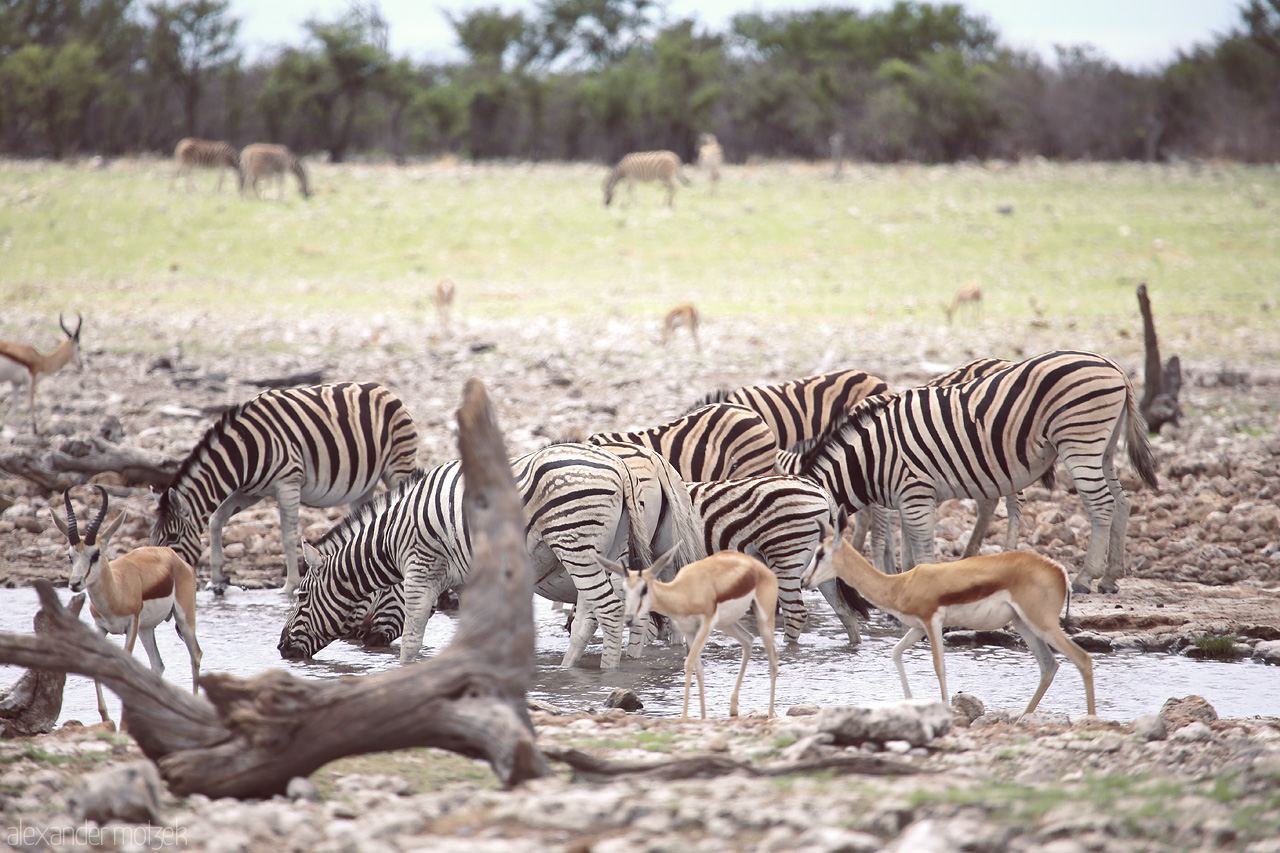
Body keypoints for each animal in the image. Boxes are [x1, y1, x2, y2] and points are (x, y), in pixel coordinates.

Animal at [151, 381, 419, 596]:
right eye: (153, 539)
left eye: (172, 537)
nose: (160, 584)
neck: (245, 449)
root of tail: (383, 388)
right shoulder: (249, 492)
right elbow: (217, 519)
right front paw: (217, 580)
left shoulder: (288, 483)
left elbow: (288, 536)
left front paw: (289, 586)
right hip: (365, 483)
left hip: (398, 464)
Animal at [278, 442, 704, 668]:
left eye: (302, 596)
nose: (281, 649)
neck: (391, 535)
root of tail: (621, 465)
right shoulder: (467, 578)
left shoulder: (420, 568)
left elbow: (413, 635)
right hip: (610, 550)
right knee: (600, 616)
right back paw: (570, 671)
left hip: (577, 545)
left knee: (614, 612)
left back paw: (608, 675)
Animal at [792, 350, 1159, 594]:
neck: (872, 459)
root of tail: (1114, 366)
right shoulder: (907, 500)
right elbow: (910, 552)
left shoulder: (915, 494)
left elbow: (923, 552)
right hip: (1104, 447)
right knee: (1122, 502)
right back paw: (1110, 576)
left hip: (1080, 440)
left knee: (1101, 506)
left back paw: (1085, 578)